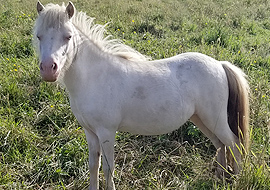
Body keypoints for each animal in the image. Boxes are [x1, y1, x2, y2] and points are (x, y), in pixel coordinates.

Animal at [34, 1, 250, 190]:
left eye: (68, 36)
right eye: (38, 36)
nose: (49, 69)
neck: (95, 77)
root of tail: (220, 64)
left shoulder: (106, 132)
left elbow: (108, 168)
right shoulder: (90, 132)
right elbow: (93, 165)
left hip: (214, 120)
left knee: (234, 144)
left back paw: (237, 178)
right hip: (201, 119)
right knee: (220, 144)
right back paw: (220, 176)